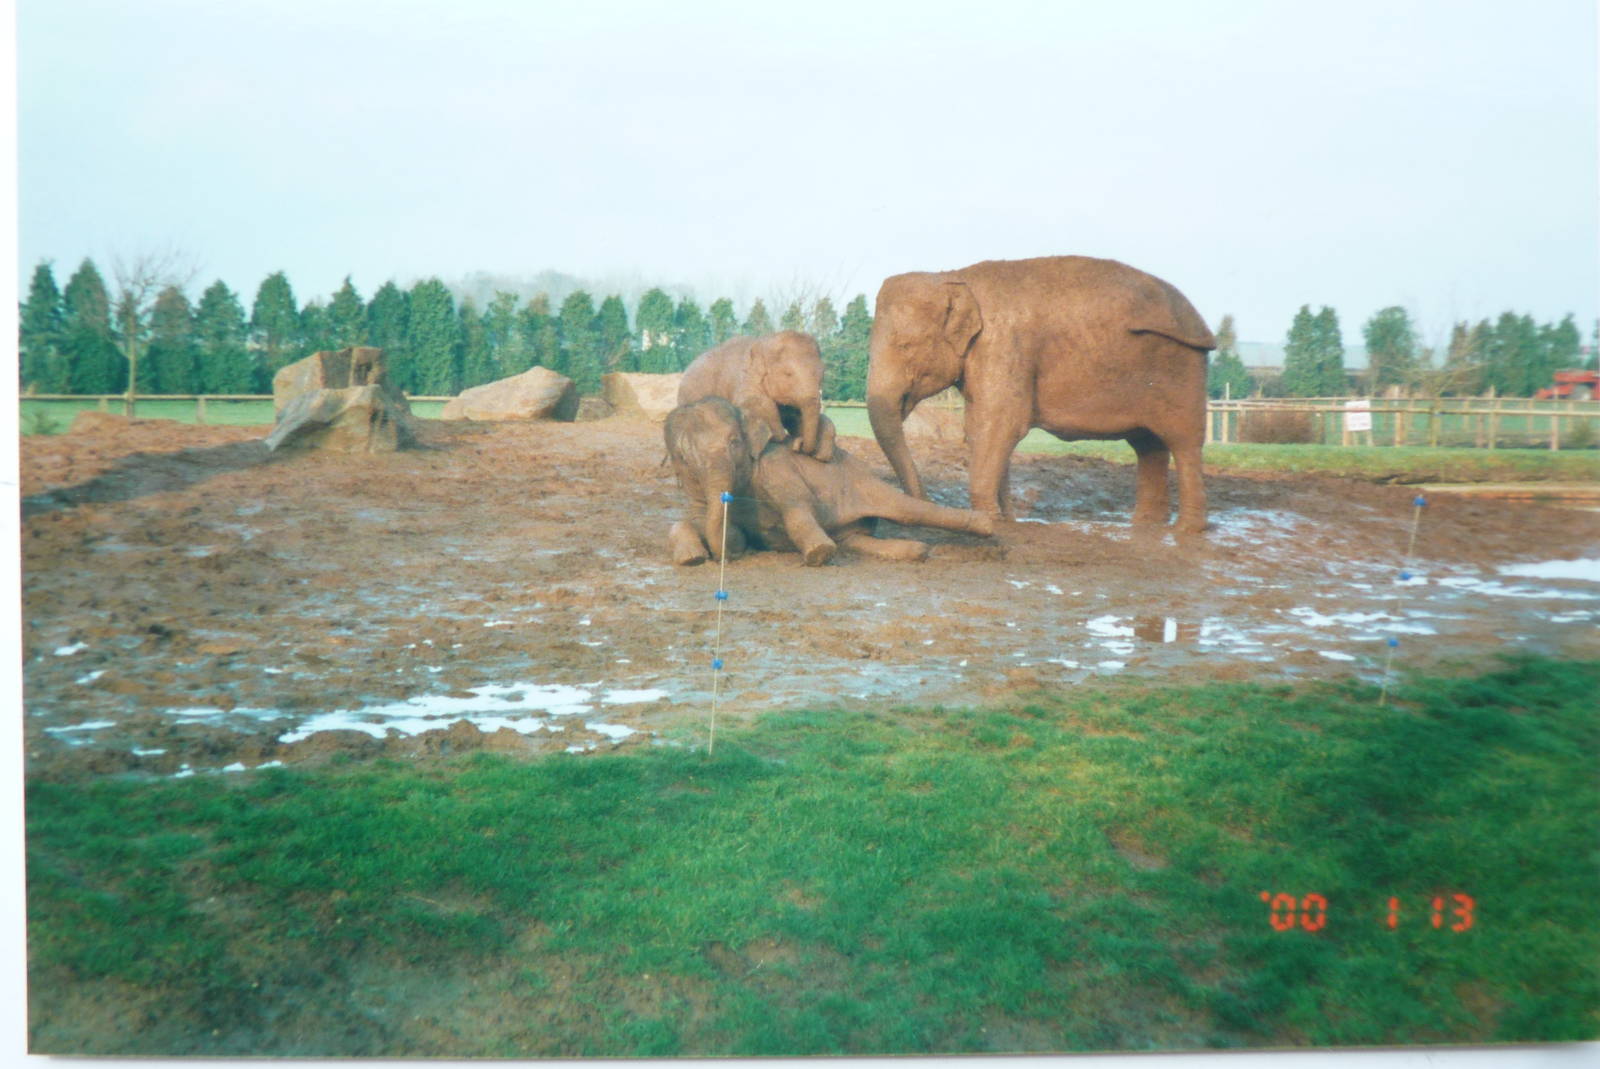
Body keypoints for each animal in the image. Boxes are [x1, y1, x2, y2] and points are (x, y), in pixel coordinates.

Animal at [664, 397, 994, 566]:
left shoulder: (776, 467)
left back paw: (987, 526)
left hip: (862, 480)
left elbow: (798, 506)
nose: (732, 556)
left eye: (734, 442)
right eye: (684, 458)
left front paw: (819, 554)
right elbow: (692, 521)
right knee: (859, 541)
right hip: (854, 530)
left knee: (907, 510)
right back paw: (917, 551)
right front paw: (693, 557)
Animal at [678, 330, 833, 462]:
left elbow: (796, 418)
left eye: (822, 374)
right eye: (788, 374)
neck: (767, 341)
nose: (798, 444)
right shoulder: (746, 378)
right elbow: (755, 403)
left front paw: (821, 455)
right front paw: (780, 437)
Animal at [865, 255, 1216, 533]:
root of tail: (1200, 324)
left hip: (1185, 368)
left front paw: (988, 519)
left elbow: (1001, 425)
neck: (954, 276)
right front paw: (1005, 519)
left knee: (1183, 442)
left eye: (905, 346)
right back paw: (1146, 526)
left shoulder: (1004, 345)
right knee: (1148, 446)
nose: (926, 503)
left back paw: (1187, 530)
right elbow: (981, 428)